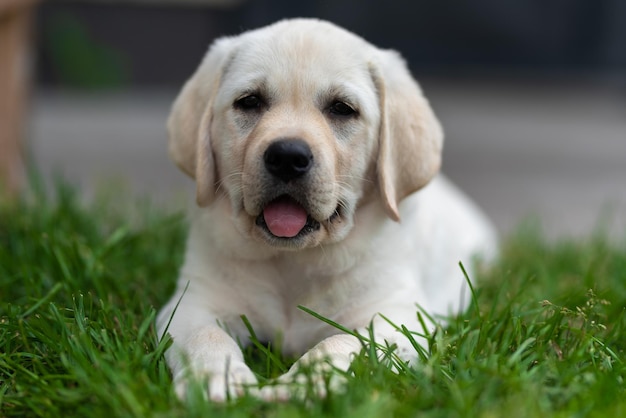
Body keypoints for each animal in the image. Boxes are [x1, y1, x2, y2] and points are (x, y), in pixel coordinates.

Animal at [157, 17, 498, 402]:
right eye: (250, 102)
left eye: (341, 109)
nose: (287, 157)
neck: (292, 262)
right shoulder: (193, 302)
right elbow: (206, 336)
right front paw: (216, 381)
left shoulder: (398, 319)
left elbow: (341, 344)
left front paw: (297, 385)